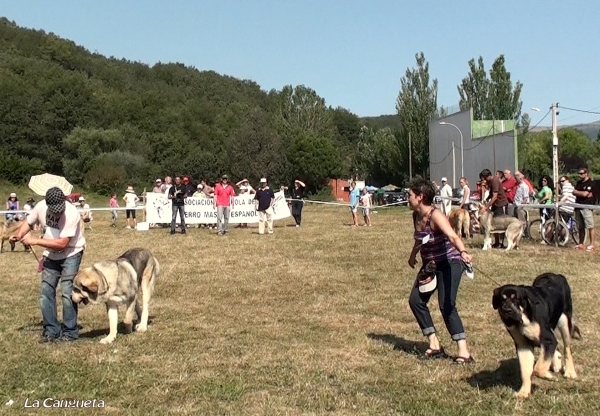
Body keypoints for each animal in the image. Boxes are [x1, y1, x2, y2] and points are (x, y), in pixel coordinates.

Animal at [492, 272, 580, 400]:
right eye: (501, 300)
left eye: (516, 299)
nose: (507, 311)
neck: (524, 319)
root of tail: (557, 274)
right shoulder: (523, 345)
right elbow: (525, 370)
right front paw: (523, 393)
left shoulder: (548, 339)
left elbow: (537, 369)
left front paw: (549, 376)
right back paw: (556, 364)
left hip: (564, 321)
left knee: (567, 348)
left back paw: (570, 372)